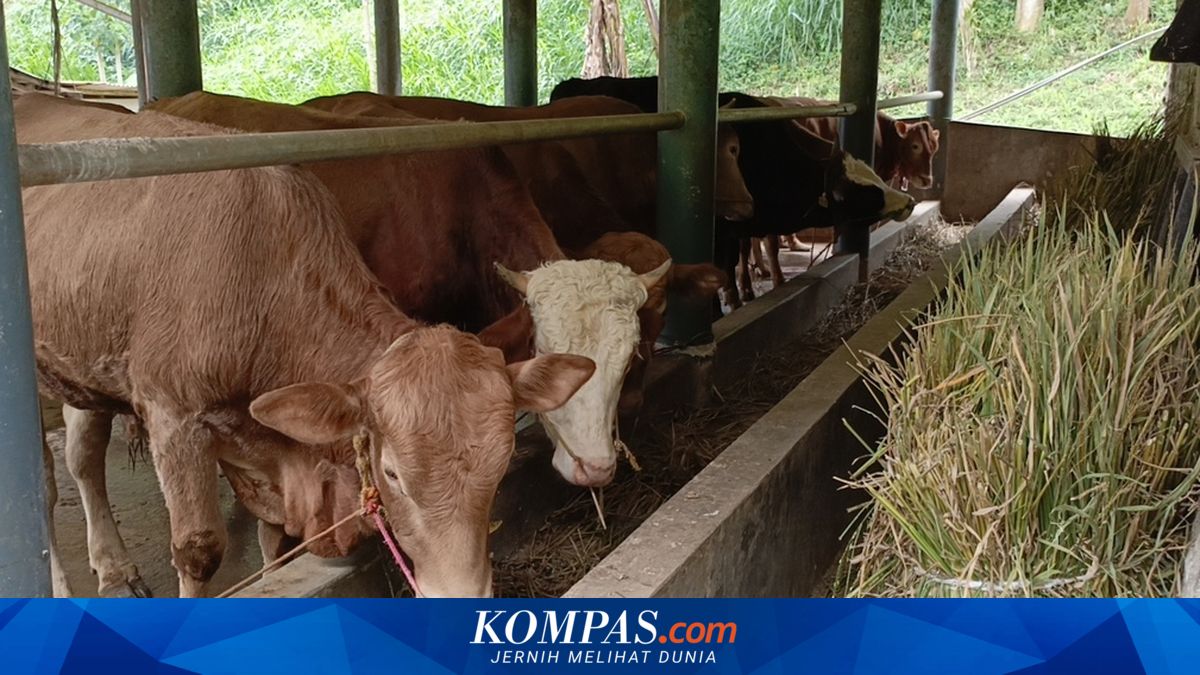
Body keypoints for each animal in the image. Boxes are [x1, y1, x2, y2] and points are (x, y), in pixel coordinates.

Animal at [16, 92, 596, 598]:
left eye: (502, 464)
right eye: (392, 473)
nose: (462, 593)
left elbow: (275, 539)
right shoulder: (173, 417)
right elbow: (198, 551)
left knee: (83, 457)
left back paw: (114, 566)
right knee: (43, 486)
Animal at [549, 76, 915, 308]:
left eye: (872, 174)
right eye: (860, 190)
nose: (909, 201)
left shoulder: (736, 227)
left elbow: (734, 258)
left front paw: (739, 293)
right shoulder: (722, 229)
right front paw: (726, 300)